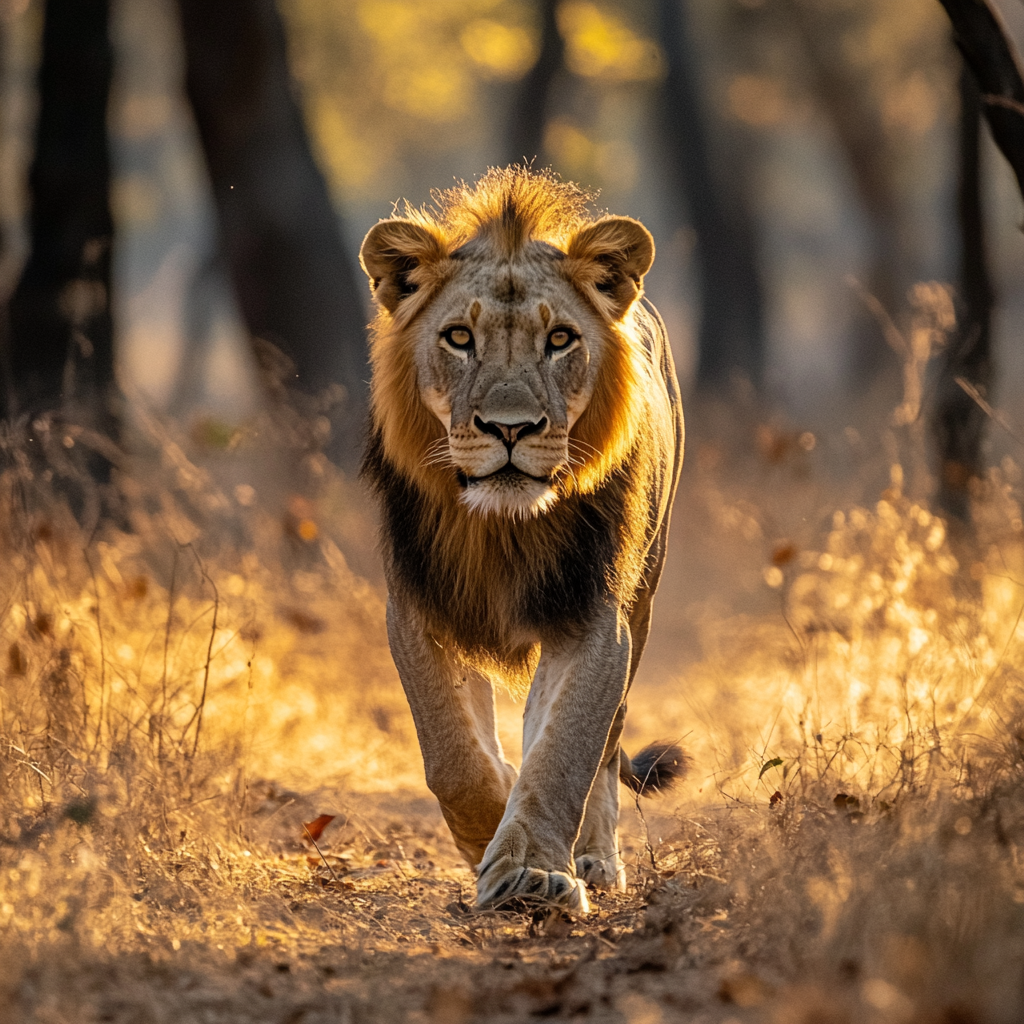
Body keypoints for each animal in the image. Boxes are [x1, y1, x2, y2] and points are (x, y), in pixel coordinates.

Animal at [360, 167, 688, 913]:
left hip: (645, 598)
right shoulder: (416, 605)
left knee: (605, 745)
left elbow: (567, 747)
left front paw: (533, 872)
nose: (510, 427)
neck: (501, 530)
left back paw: (593, 857)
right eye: (458, 337)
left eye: (561, 339)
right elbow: (452, 755)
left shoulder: (596, 616)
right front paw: (490, 834)